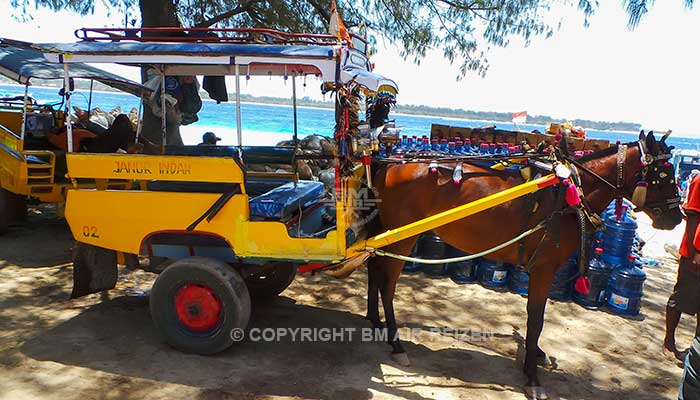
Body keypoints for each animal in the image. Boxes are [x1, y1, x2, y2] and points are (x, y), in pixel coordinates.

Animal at [366, 131, 684, 396]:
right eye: (664, 173)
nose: (677, 217)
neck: (570, 194)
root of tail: (390, 166)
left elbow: (536, 318)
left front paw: (536, 355)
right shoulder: (544, 268)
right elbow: (536, 318)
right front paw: (531, 374)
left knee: (374, 272)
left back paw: (375, 320)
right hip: (402, 237)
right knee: (387, 284)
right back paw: (395, 342)